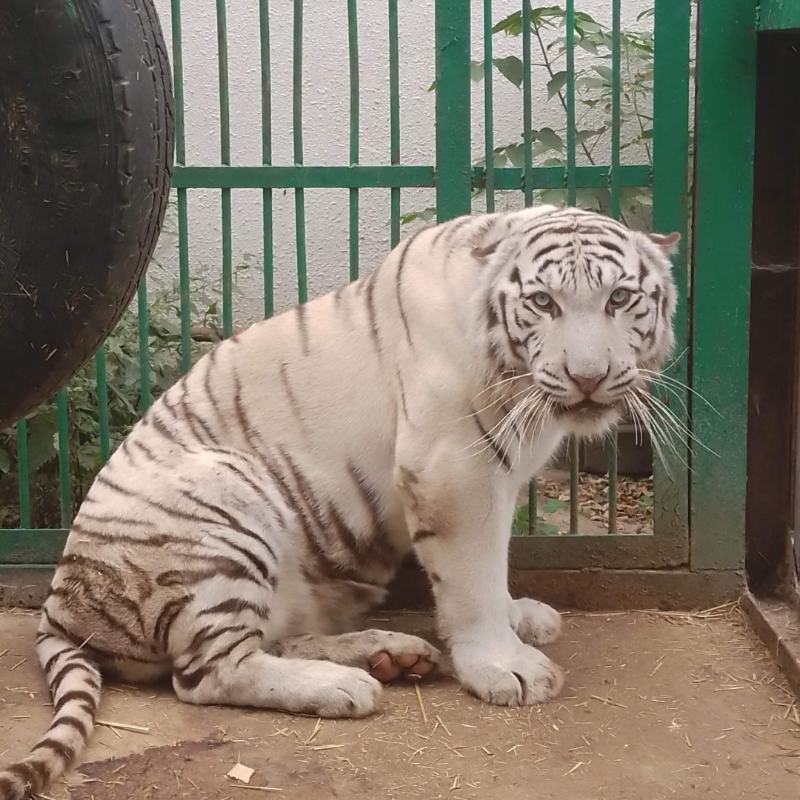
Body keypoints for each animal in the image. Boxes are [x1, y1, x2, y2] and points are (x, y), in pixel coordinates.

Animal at [0, 205, 679, 799]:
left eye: (619, 299)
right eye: (544, 304)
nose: (589, 378)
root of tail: (59, 603)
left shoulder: (502, 473)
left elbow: (496, 562)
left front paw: (518, 616)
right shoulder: (452, 465)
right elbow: (471, 573)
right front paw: (504, 666)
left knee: (268, 640)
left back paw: (391, 656)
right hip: (228, 498)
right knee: (208, 673)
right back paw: (345, 686)